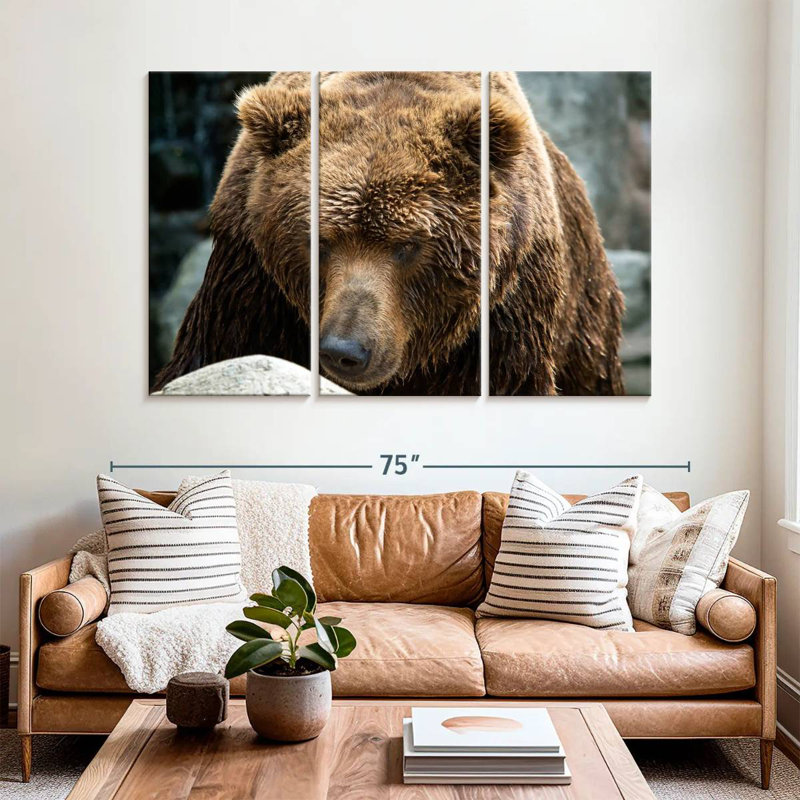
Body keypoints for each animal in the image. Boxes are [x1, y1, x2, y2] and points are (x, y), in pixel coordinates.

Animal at [153, 71, 624, 396]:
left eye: (408, 245)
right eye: (318, 241)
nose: (345, 350)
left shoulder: (505, 314)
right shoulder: (251, 278)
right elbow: (216, 355)